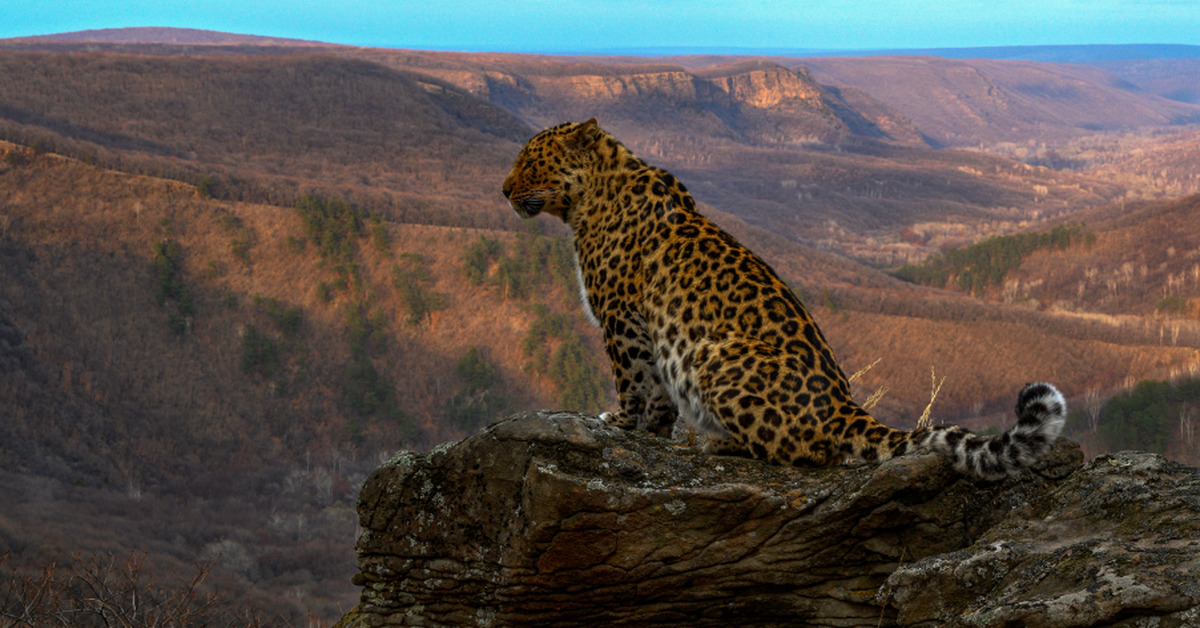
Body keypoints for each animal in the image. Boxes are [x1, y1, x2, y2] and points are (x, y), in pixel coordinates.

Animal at [501, 119, 1065, 482]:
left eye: (530, 162)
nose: (503, 190)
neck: (588, 198)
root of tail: (844, 407)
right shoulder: (641, 325)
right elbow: (656, 392)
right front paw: (653, 433)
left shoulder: (622, 317)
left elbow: (634, 379)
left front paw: (619, 423)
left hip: (712, 356)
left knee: (808, 454)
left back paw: (719, 442)